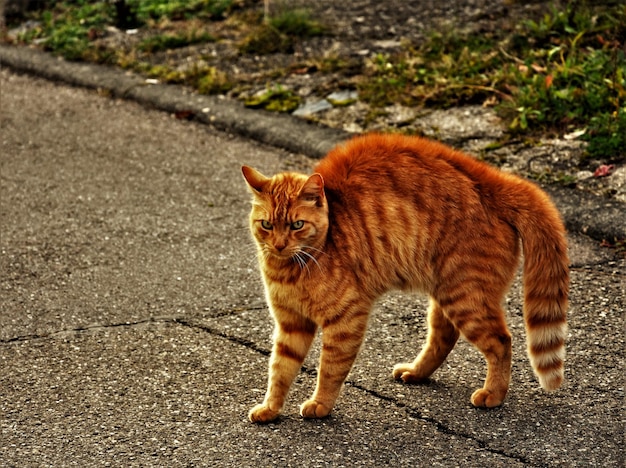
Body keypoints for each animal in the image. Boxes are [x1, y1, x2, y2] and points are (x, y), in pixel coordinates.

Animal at [240, 133, 564, 424]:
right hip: (448, 293)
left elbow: (329, 368)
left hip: (465, 297)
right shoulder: (291, 325)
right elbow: (280, 370)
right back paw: (417, 373)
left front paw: (320, 403)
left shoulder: (346, 320)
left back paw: (493, 394)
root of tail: (495, 180)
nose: (279, 245)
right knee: (444, 336)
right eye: (267, 225)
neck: (293, 267)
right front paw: (271, 408)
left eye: (297, 225)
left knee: (501, 342)